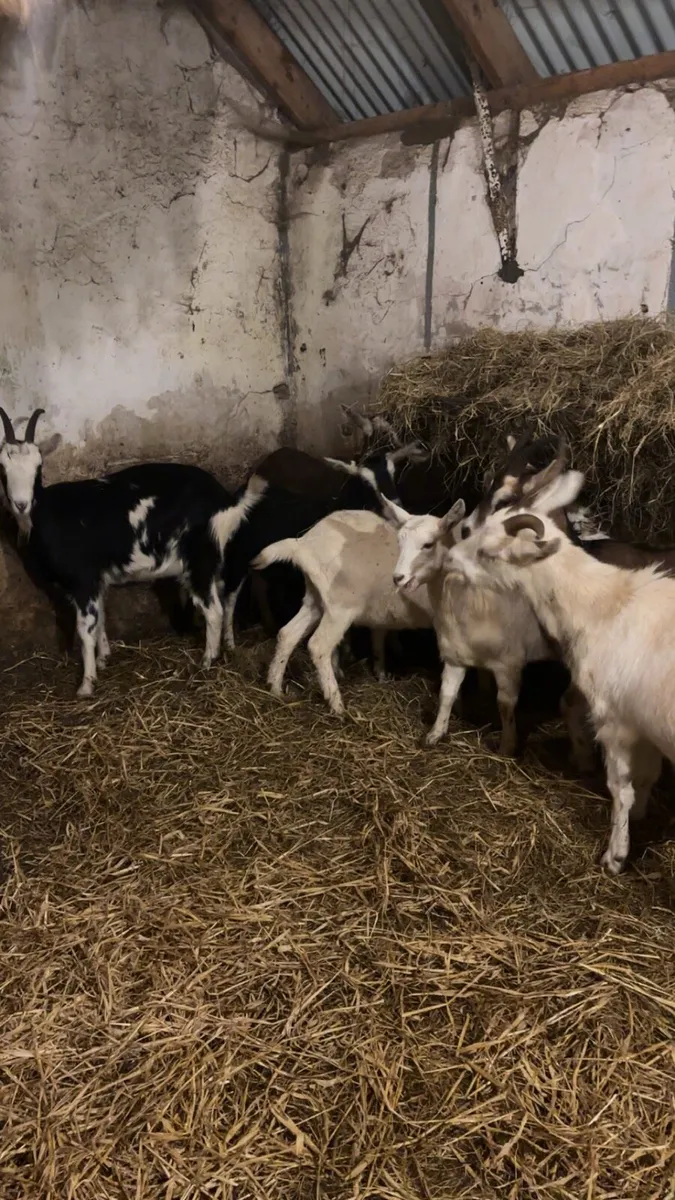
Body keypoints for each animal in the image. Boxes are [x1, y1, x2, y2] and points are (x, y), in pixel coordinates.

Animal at [0, 407, 262, 697]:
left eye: (38, 467)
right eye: (2, 468)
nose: (21, 504)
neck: (47, 514)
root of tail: (224, 500)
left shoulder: (83, 580)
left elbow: (85, 629)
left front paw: (86, 684)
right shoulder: (97, 580)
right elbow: (101, 619)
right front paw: (104, 658)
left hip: (199, 560)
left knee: (213, 610)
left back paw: (206, 661)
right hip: (216, 559)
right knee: (227, 599)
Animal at [253, 509, 437, 712]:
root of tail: (303, 544)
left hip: (317, 600)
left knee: (288, 634)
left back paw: (275, 687)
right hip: (341, 606)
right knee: (318, 646)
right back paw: (337, 705)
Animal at [443, 462, 675, 874]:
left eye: (488, 551)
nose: (450, 558)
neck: (602, 604)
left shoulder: (614, 721)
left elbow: (621, 789)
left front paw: (615, 856)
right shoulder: (643, 722)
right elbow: (647, 775)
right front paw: (641, 821)